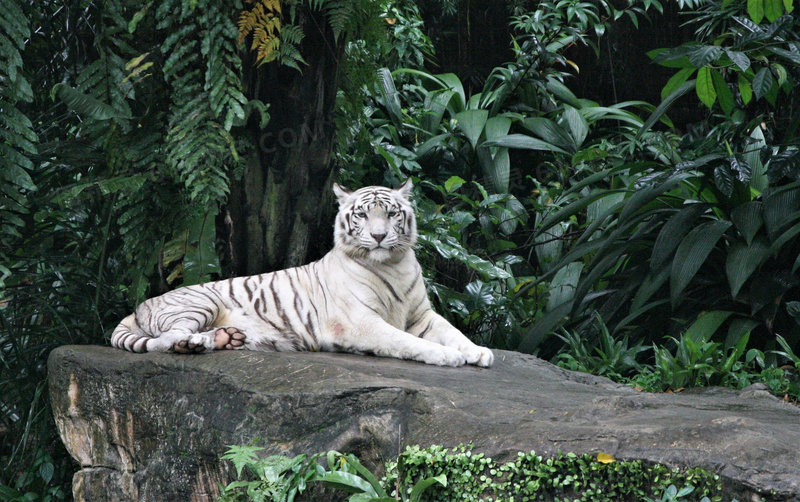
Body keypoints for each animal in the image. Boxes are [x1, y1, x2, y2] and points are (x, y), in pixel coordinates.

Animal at [107, 182, 494, 366]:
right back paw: (198, 342)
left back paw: (225, 339)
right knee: (165, 340)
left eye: (391, 214)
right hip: (197, 302)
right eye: (362, 215)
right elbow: (405, 342)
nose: (380, 236)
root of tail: (138, 307)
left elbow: (453, 332)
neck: (392, 264)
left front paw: (478, 352)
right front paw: (446, 356)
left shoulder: (422, 315)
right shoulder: (362, 322)